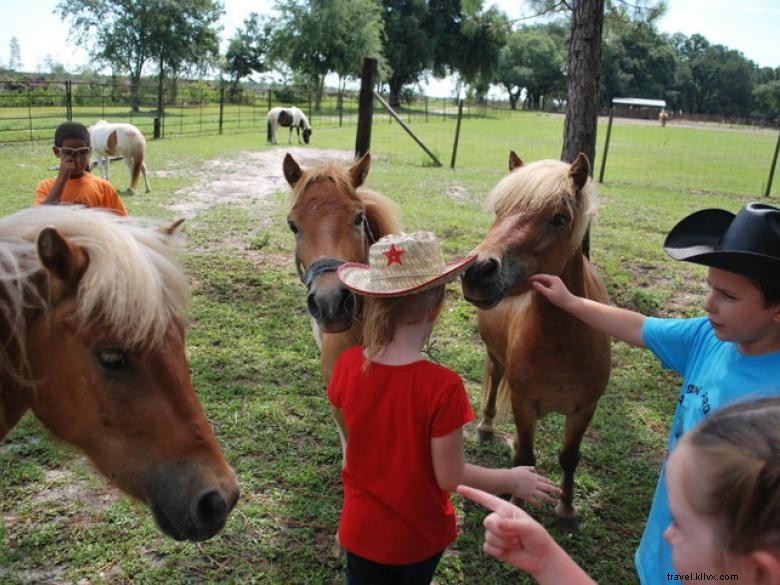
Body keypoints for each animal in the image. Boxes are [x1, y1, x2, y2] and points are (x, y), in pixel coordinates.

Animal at [460, 151, 612, 520]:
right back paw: (486, 428)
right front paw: (518, 505)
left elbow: (569, 458)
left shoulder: (584, 409)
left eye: (558, 219)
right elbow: (525, 459)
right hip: (495, 358)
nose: (476, 271)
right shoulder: (524, 404)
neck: (563, 346)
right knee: (493, 381)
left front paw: (566, 508)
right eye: (500, 210)